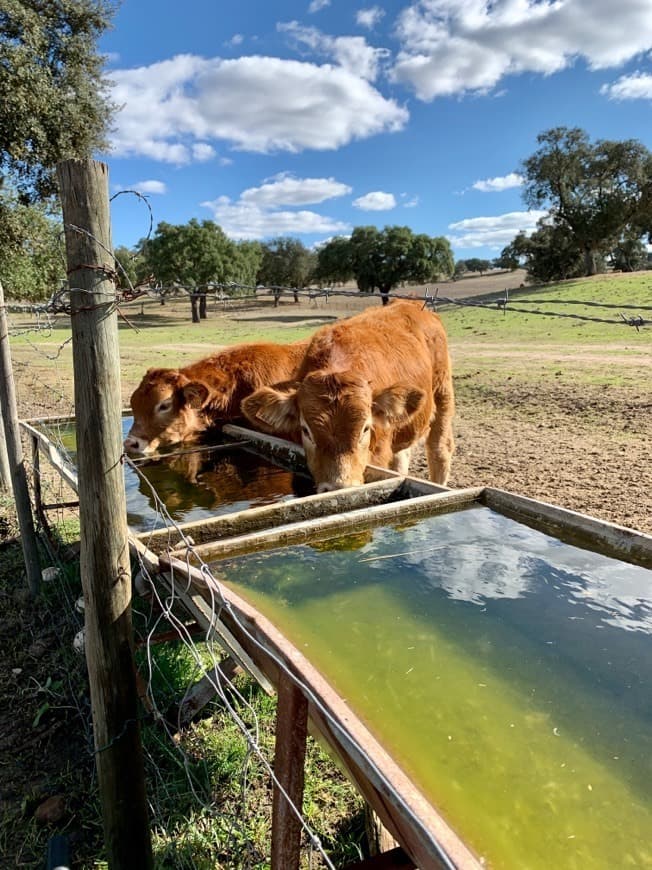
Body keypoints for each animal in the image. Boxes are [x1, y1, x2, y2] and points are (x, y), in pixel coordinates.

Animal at [239, 298, 454, 490]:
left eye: (365, 428)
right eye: (306, 431)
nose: (339, 487)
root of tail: (411, 303)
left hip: (443, 394)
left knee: (439, 450)